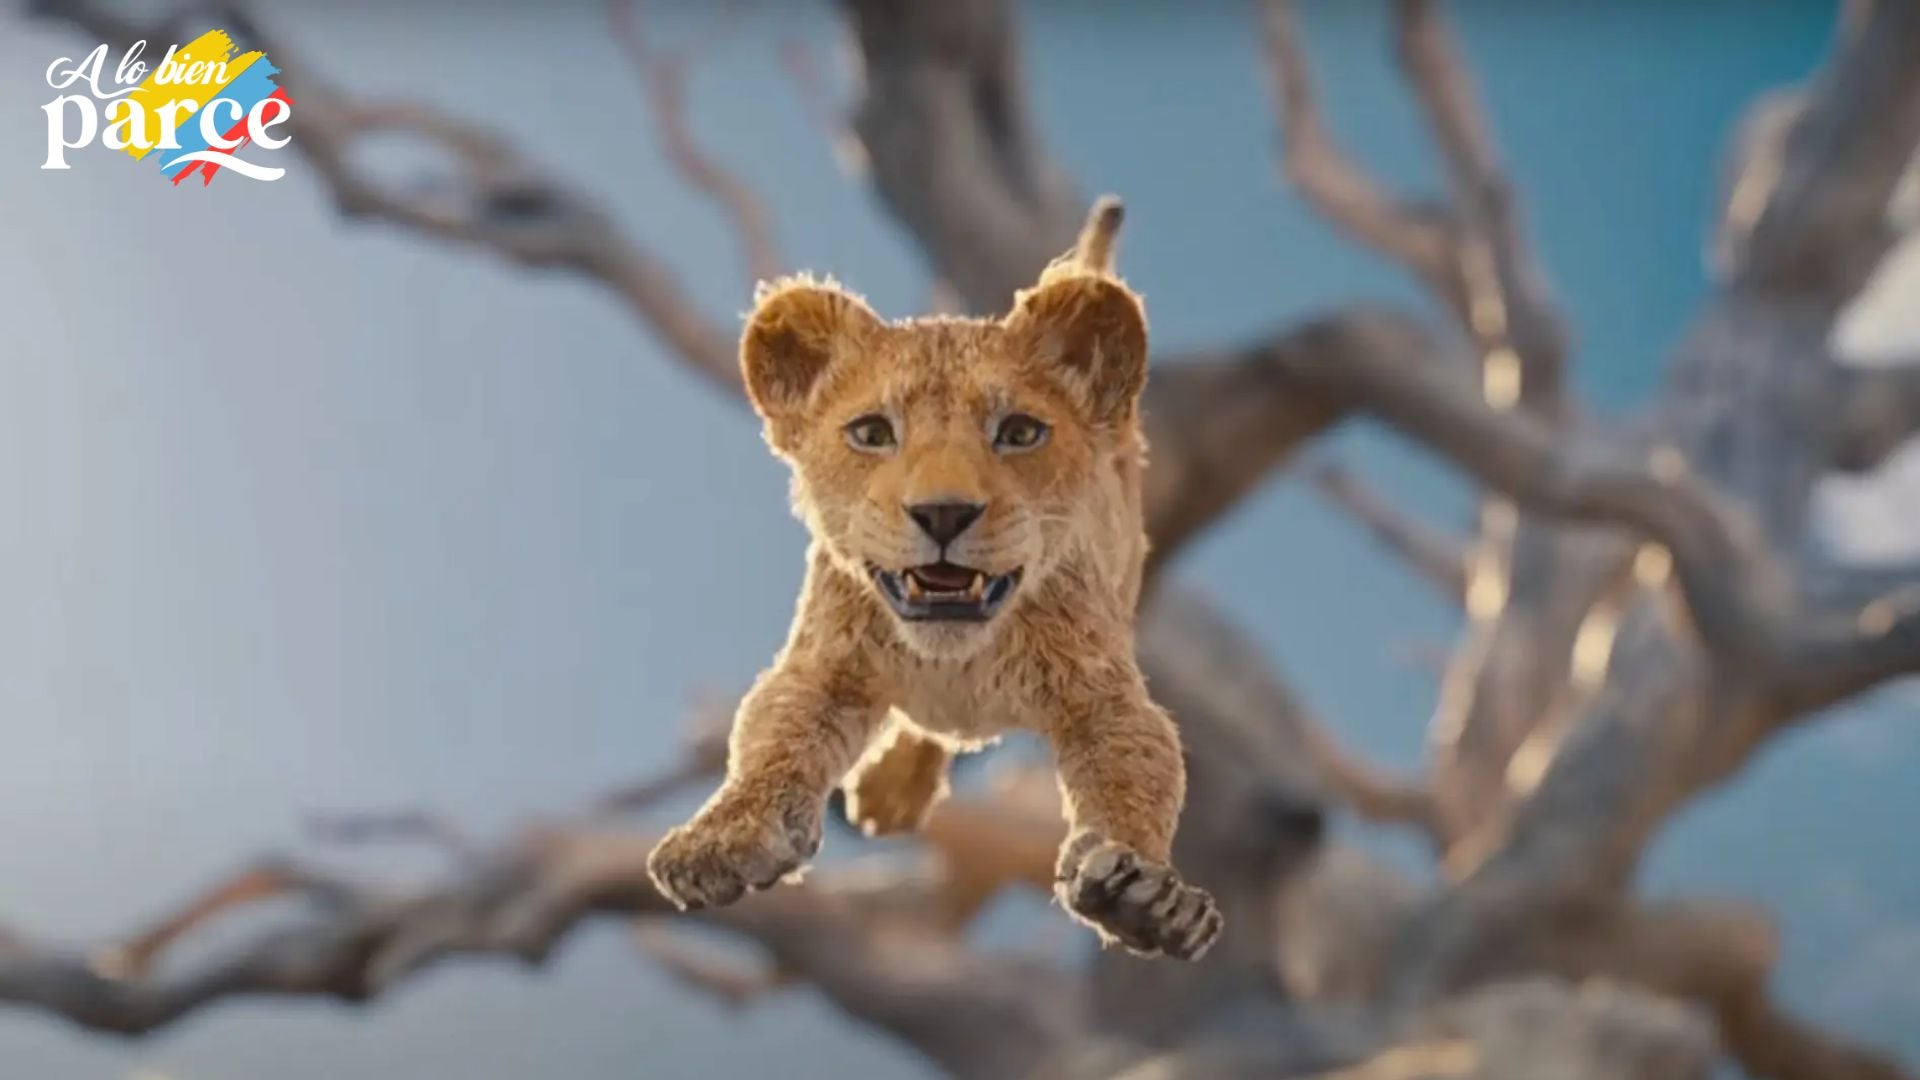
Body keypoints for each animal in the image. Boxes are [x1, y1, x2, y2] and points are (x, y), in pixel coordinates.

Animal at [646, 199, 1221, 960]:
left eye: (1020, 432)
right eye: (871, 433)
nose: (943, 512)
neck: (959, 658)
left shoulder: (1104, 694)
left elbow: (1138, 774)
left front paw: (1146, 895)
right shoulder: (822, 665)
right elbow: (771, 740)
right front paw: (720, 840)